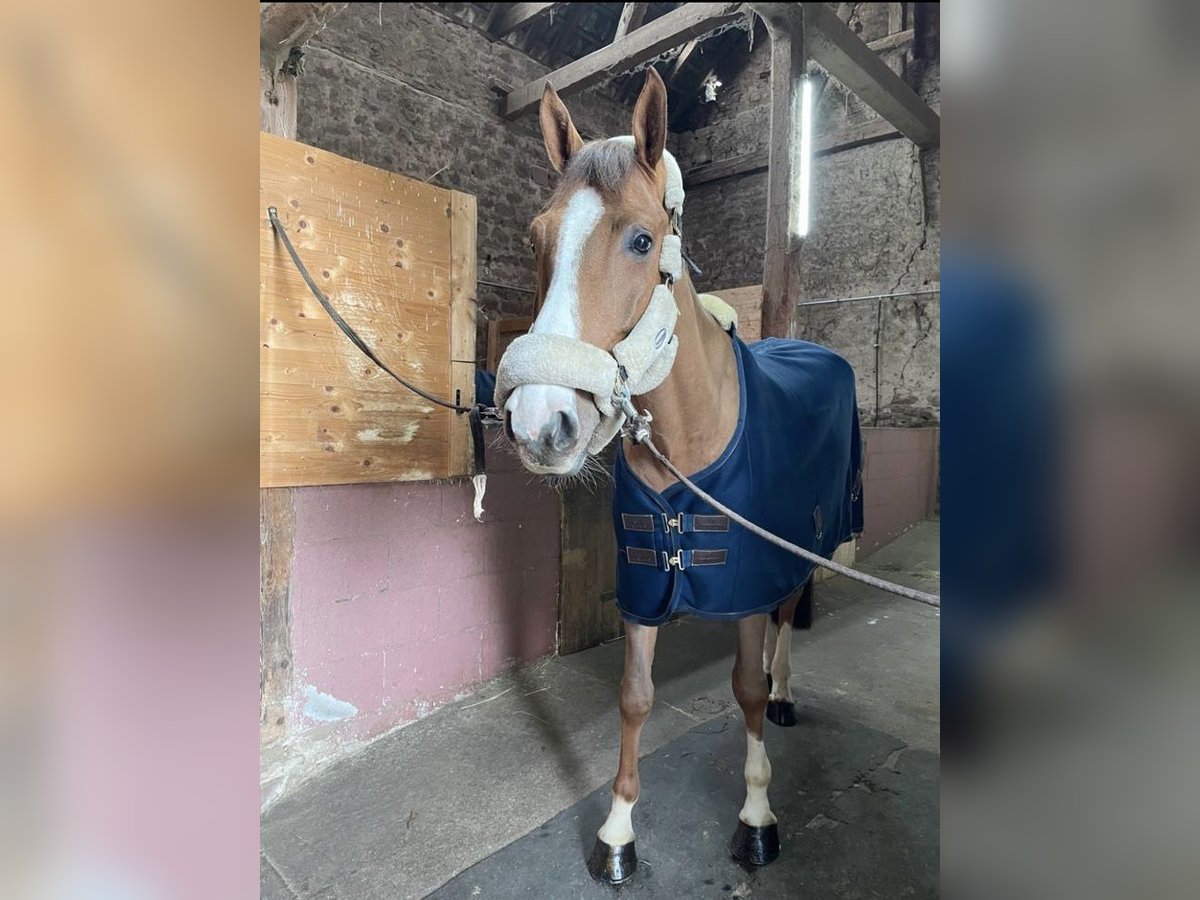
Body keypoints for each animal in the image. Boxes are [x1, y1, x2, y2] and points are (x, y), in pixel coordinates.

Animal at [494, 70, 864, 888]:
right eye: (537, 237)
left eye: (640, 239)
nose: (539, 423)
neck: (689, 432)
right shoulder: (640, 586)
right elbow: (635, 698)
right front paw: (617, 831)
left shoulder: (747, 575)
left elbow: (745, 688)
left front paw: (756, 818)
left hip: (803, 539)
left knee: (787, 617)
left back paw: (787, 694)